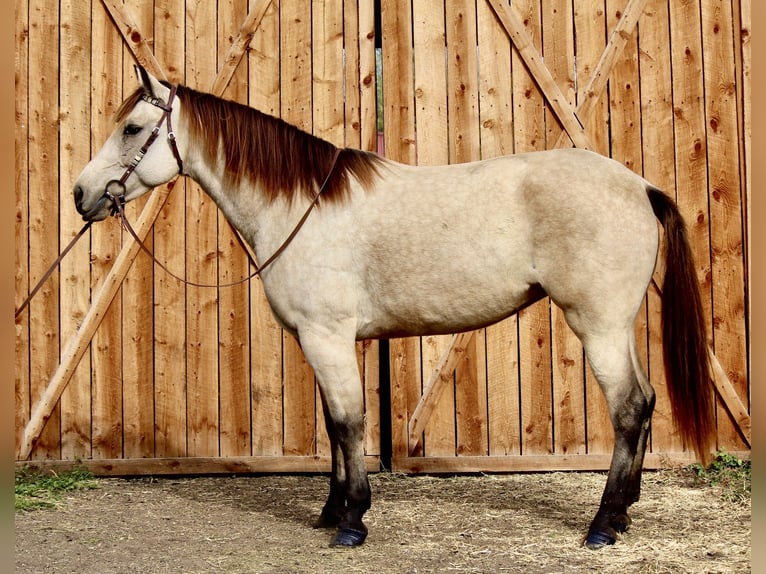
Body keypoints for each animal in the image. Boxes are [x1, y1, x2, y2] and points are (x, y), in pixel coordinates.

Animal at [73, 66, 716, 550]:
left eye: (132, 128)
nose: (82, 194)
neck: (300, 206)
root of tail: (640, 188)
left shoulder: (328, 337)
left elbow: (347, 422)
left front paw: (353, 521)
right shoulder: (317, 341)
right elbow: (334, 426)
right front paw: (331, 511)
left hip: (597, 324)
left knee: (628, 407)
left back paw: (603, 524)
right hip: (617, 325)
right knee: (645, 401)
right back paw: (623, 512)